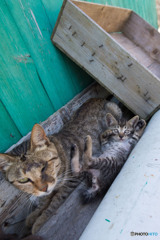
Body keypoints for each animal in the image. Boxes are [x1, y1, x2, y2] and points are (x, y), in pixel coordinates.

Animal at [0, 98, 121, 233]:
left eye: (44, 167)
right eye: (23, 180)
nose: (44, 188)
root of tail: (98, 98)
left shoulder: (72, 180)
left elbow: (56, 200)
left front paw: (40, 219)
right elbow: (45, 199)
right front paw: (35, 214)